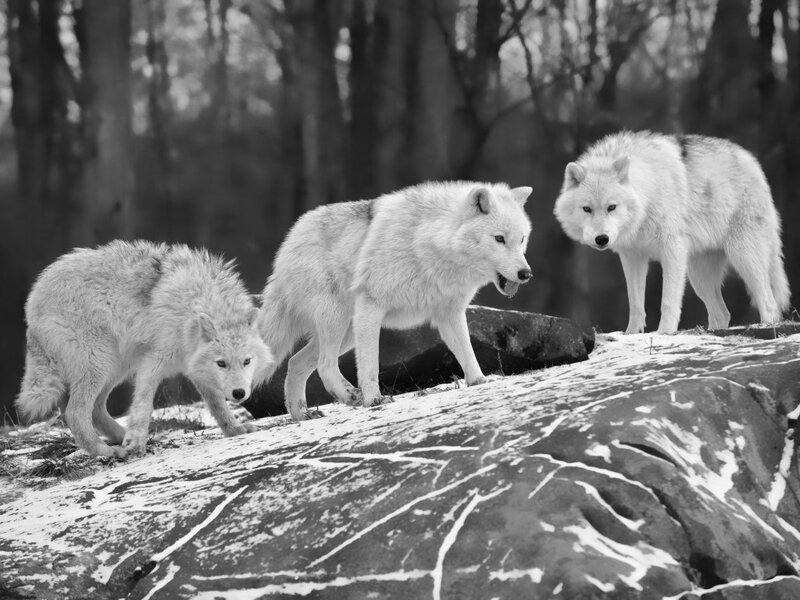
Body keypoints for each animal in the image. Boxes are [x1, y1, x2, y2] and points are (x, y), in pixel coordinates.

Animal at [16, 240, 272, 457]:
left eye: (246, 361)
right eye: (222, 363)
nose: (239, 393)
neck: (191, 307)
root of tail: (32, 300)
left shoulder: (194, 367)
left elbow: (217, 405)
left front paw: (235, 430)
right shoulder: (153, 361)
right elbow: (143, 405)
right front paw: (136, 442)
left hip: (116, 366)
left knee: (94, 410)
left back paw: (123, 439)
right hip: (100, 363)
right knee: (74, 413)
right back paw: (105, 451)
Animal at [256, 181, 533, 420]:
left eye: (521, 239)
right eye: (499, 238)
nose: (526, 274)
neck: (428, 243)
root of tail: (289, 240)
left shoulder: (449, 314)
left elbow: (467, 353)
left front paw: (479, 382)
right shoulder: (371, 307)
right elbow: (370, 366)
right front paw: (374, 400)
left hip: (347, 332)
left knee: (296, 362)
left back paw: (301, 414)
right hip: (338, 320)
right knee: (325, 365)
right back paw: (350, 396)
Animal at [553, 131, 790, 333]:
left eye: (612, 207)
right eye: (587, 209)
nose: (602, 239)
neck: (648, 192)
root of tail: (751, 160)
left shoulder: (672, 250)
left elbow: (668, 301)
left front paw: (665, 332)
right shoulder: (632, 257)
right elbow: (635, 303)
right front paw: (631, 334)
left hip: (743, 257)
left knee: (769, 303)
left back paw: (768, 327)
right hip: (699, 276)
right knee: (722, 314)